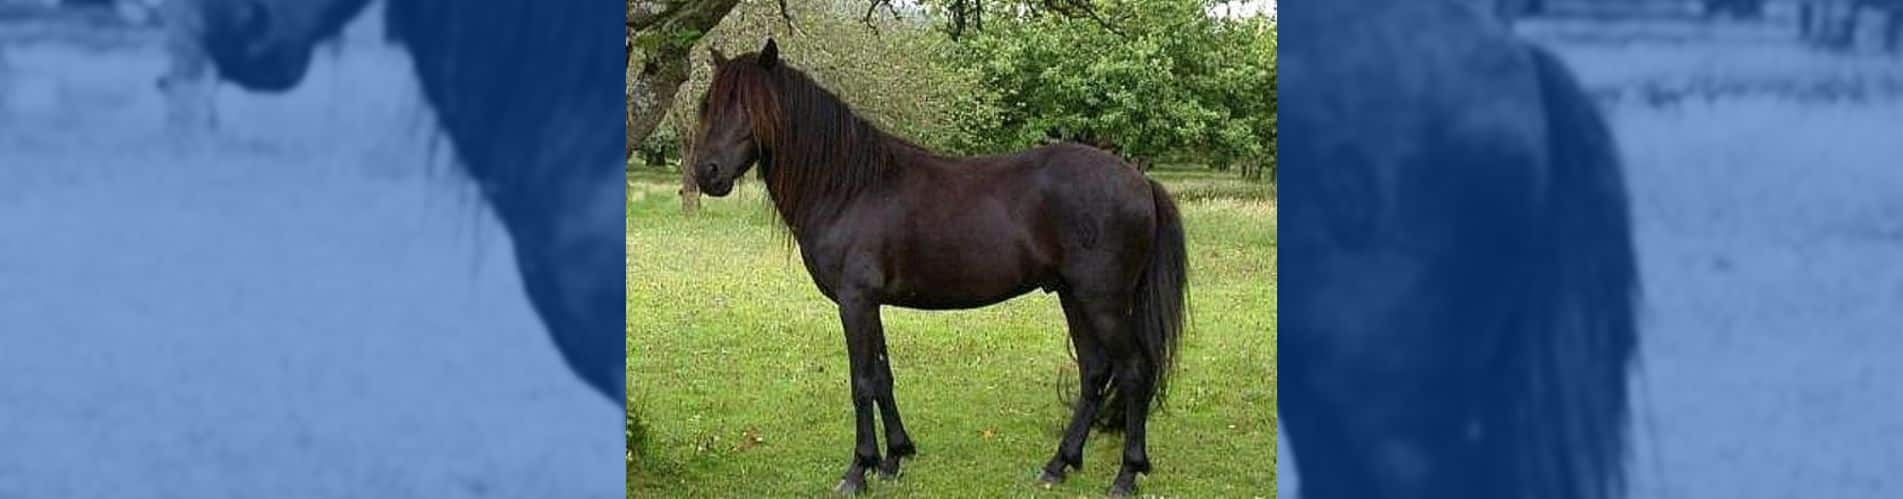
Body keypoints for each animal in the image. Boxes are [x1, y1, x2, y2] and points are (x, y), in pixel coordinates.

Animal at [684, 39, 1190, 497]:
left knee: (1133, 372)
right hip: (1073, 296)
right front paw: (894, 458)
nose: (707, 173)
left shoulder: (855, 301)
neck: (849, 187)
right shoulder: (871, 304)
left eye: (749, 107)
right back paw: (1058, 465)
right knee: (1094, 372)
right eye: (710, 104)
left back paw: (1126, 475)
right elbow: (883, 378)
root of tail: (1140, 180)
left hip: (1103, 301)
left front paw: (858, 470)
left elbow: (862, 382)